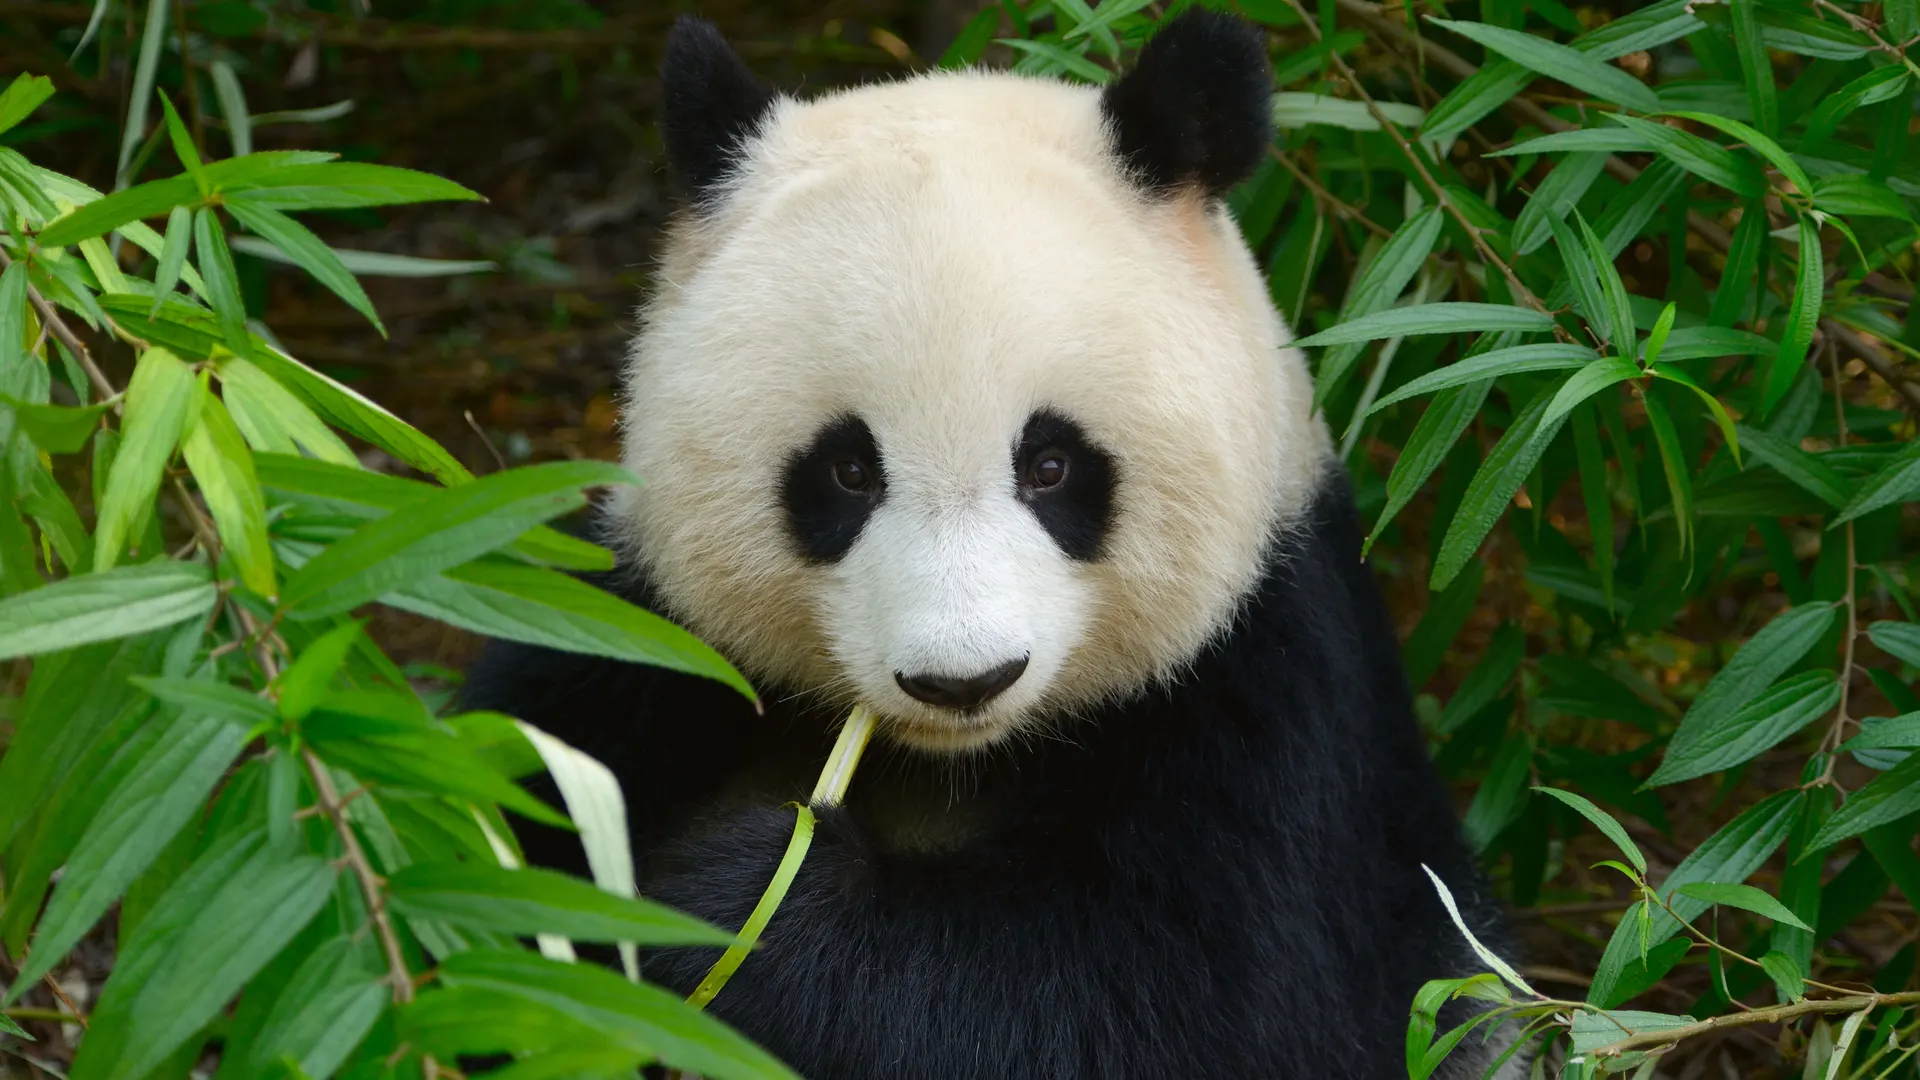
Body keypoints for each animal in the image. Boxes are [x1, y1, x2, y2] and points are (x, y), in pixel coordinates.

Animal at [462, 9, 1521, 1079]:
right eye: (848, 471)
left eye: (1051, 466)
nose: (963, 680)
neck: (953, 761)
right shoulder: (639, 637)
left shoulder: (1272, 693)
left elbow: (1160, 996)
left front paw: (745, 903)